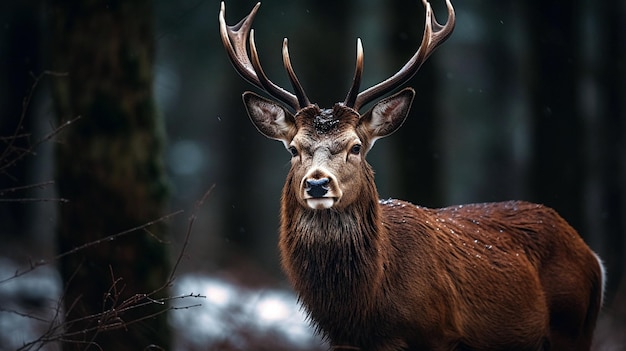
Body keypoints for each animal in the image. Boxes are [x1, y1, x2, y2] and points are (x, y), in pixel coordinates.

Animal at [217, 1, 604, 350]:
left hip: (572, 325)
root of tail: (593, 258)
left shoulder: (439, 334)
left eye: (355, 146)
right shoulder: (344, 341)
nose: (317, 183)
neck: (365, 308)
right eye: (294, 149)